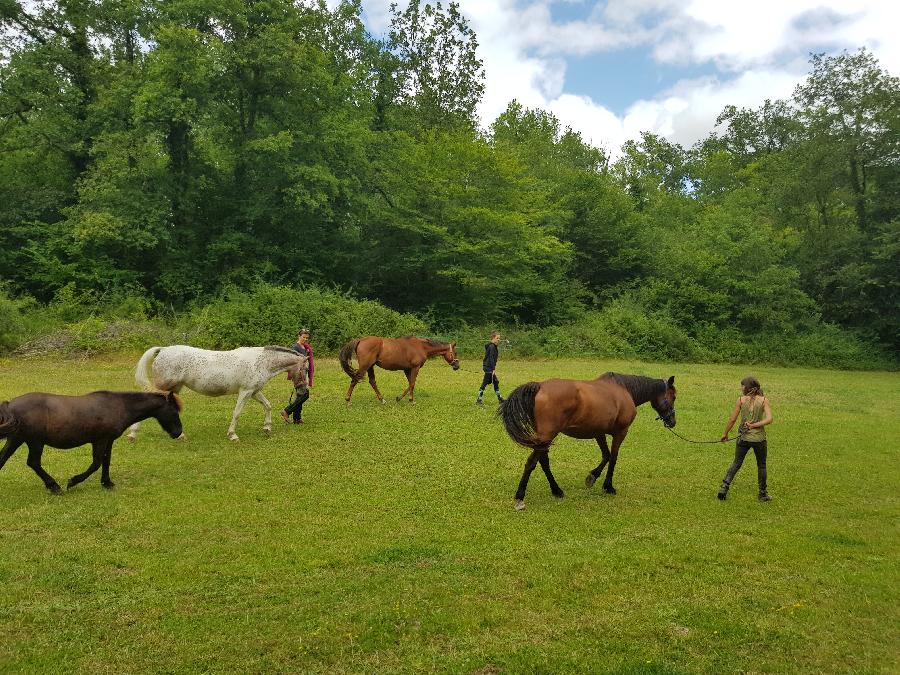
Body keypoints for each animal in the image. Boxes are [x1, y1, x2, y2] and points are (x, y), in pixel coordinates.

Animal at [0, 388, 185, 494]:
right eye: (174, 411)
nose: (178, 433)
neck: (120, 406)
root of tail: (10, 405)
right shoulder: (100, 440)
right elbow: (96, 463)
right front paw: (73, 481)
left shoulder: (109, 440)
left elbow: (106, 461)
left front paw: (107, 482)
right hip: (35, 442)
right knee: (33, 463)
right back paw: (54, 486)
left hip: (17, 440)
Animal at [128, 346, 308, 440]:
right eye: (306, 369)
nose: (304, 391)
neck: (261, 362)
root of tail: (163, 350)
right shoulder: (246, 392)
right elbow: (237, 413)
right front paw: (233, 435)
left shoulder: (254, 391)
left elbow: (268, 406)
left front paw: (267, 428)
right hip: (164, 387)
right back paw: (132, 434)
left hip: (174, 390)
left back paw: (179, 435)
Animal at [500, 372, 676, 510]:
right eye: (673, 396)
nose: (673, 421)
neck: (625, 390)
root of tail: (540, 386)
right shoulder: (621, 432)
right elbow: (613, 458)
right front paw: (608, 486)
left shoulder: (599, 433)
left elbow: (606, 455)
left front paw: (592, 477)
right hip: (547, 436)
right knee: (531, 463)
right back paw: (520, 496)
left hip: (545, 439)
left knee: (543, 462)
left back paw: (556, 490)